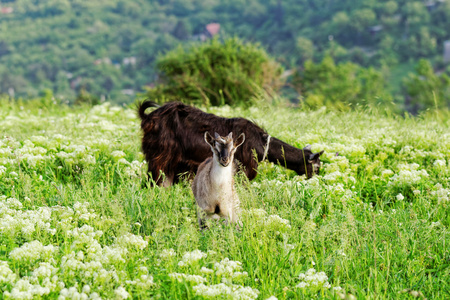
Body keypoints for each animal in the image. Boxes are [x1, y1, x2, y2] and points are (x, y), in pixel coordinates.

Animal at [137, 100, 324, 185]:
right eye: (316, 167)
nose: (316, 180)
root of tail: (148, 118)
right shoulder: (243, 169)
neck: (260, 142)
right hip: (161, 156)